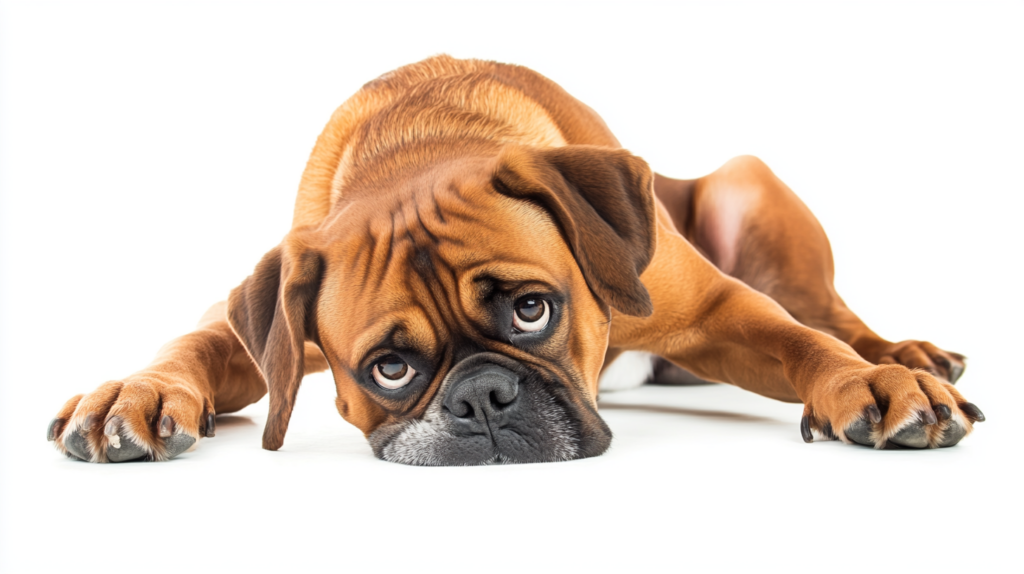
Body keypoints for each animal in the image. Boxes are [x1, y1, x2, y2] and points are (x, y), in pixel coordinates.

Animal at [48, 54, 983, 466]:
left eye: (533, 310)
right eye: (390, 368)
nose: (482, 398)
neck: (418, 148)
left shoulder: (720, 309)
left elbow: (802, 343)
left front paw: (870, 384)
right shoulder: (263, 329)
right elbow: (192, 344)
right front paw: (131, 393)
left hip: (745, 189)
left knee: (829, 314)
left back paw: (907, 356)